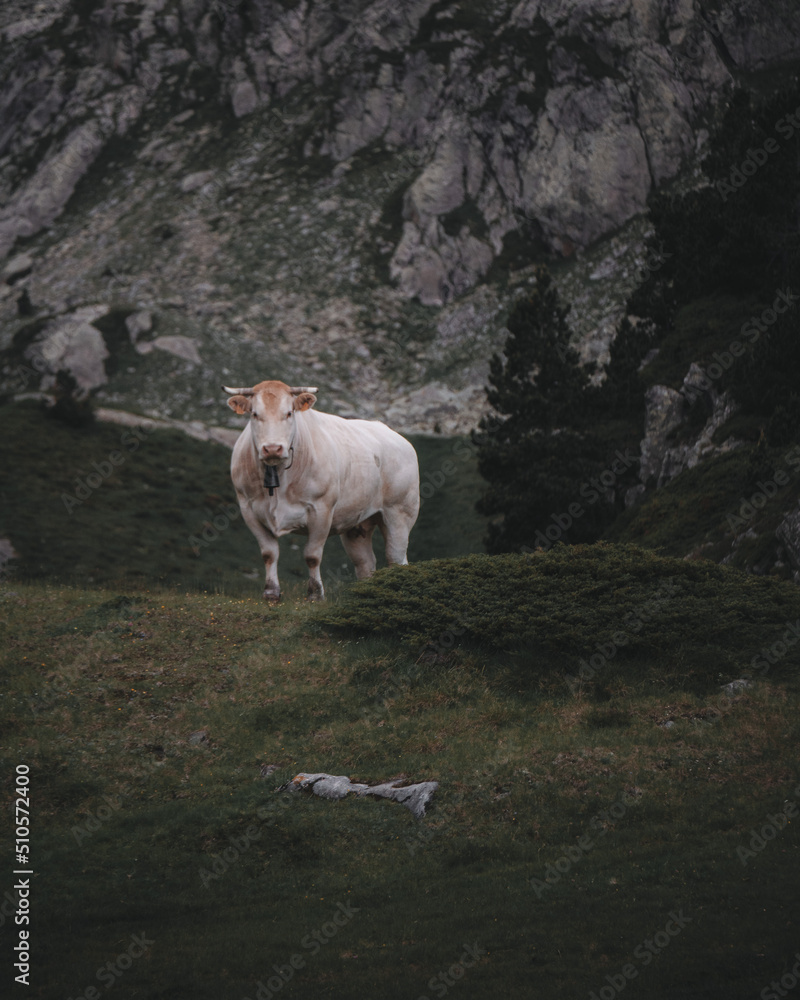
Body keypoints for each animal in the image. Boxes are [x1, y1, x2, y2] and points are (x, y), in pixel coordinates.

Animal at [224, 380, 420, 601]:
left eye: (289, 413)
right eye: (255, 414)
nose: (272, 448)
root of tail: (396, 436)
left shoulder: (321, 510)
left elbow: (312, 555)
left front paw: (316, 594)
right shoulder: (249, 509)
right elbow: (269, 553)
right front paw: (271, 593)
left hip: (399, 512)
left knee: (396, 557)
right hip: (357, 523)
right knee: (365, 563)